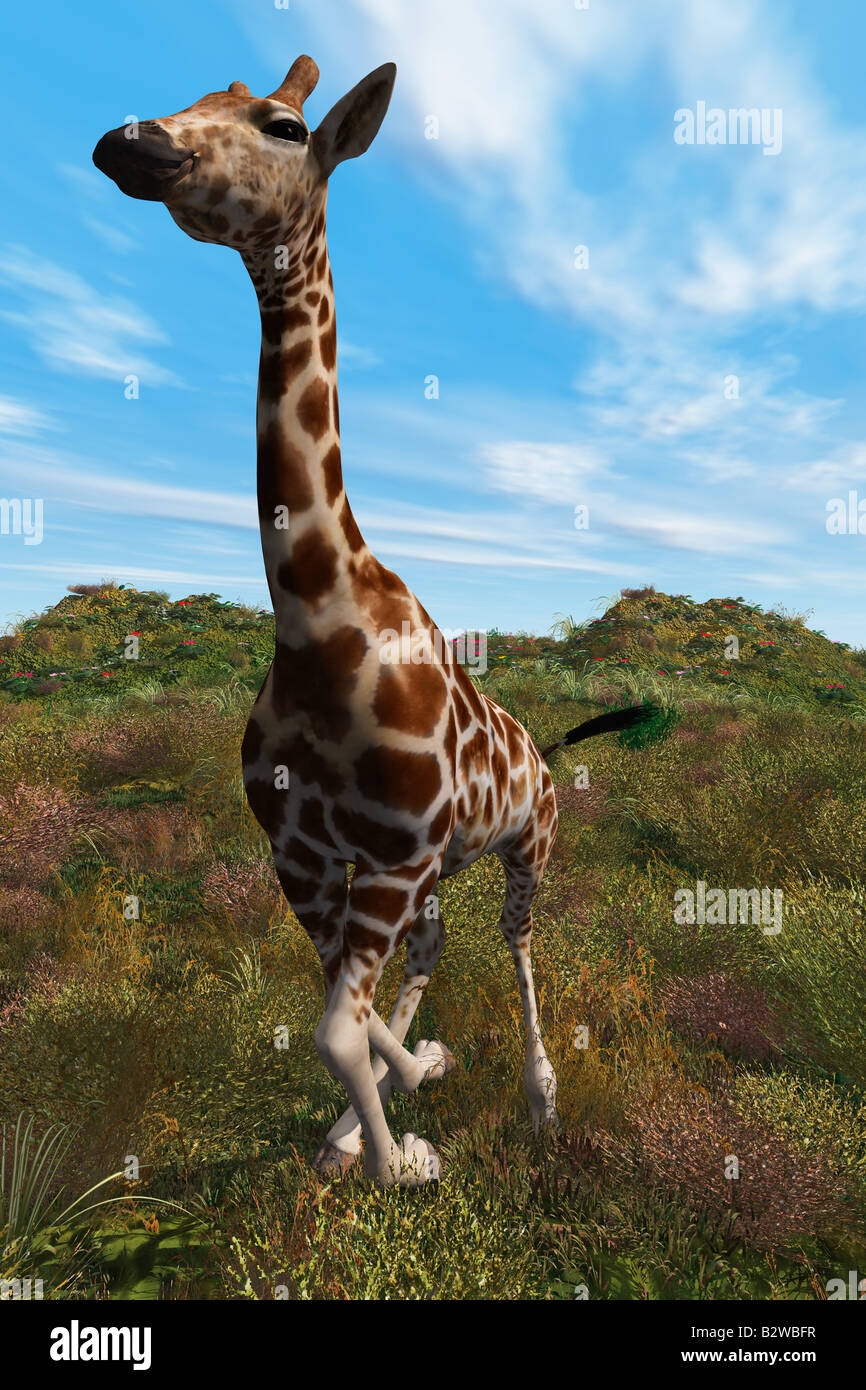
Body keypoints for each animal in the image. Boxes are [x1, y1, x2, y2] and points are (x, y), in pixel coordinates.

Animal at [93, 56, 655, 1187]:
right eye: (193, 98)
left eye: (280, 124)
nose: (129, 144)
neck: (317, 620)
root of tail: (543, 748)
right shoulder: (307, 860)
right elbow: (339, 1020)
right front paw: (387, 1108)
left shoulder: (388, 857)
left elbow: (336, 1032)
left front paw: (403, 1163)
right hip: (436, 868)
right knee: (432, 950)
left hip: (527, 844)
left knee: (519, 947)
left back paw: (540, 1100)